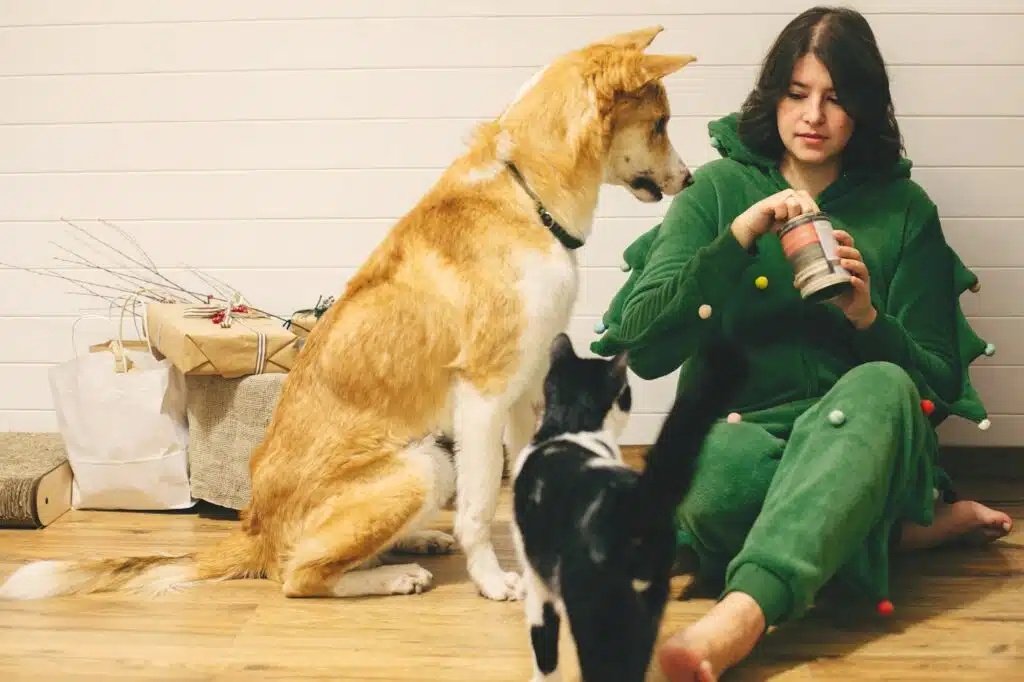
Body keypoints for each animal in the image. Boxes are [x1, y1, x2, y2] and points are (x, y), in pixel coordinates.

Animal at [0, 25, 696, 602]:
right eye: (660, 124)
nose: (689, 180)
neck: (526, 195)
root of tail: (254, 529)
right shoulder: (484, 393)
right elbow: (479, 509)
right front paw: (497, 583)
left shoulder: (527, 390)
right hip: (423, 464)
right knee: (298, 576)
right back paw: (394, 575)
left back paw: (416, 542)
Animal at [509, 331, 745, 675]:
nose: (630, 395)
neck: (572, 422)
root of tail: (634, 500)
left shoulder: (538, 584)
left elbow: (545, 654)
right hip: (649, 602)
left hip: (593, 609)